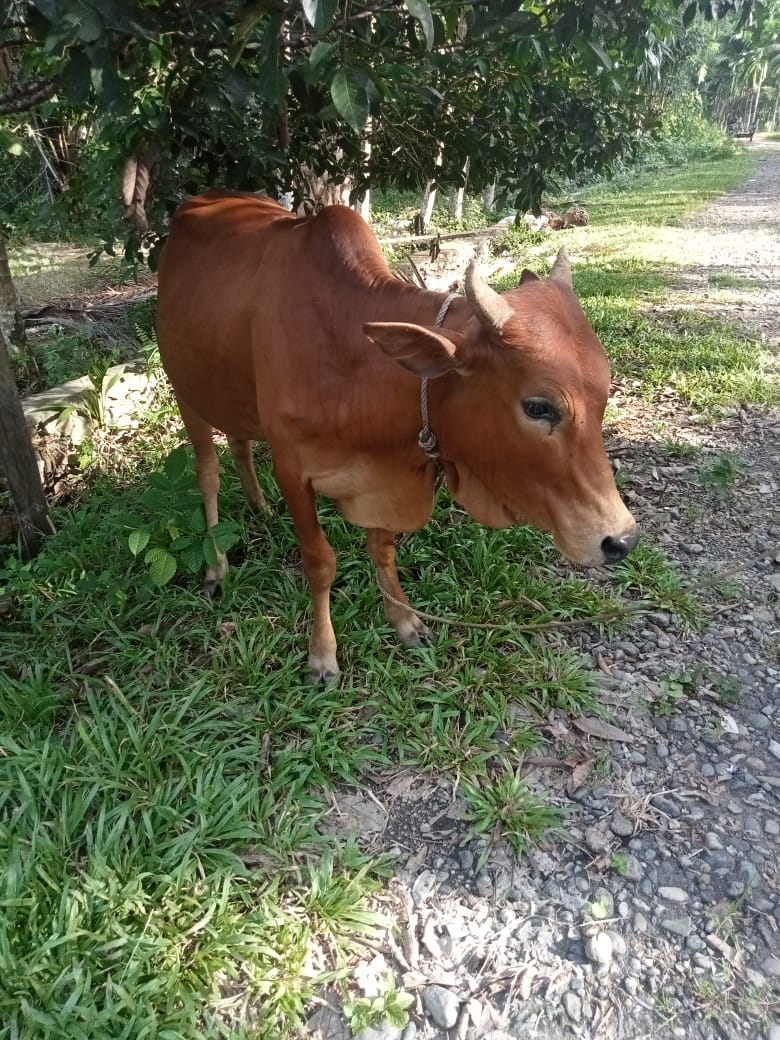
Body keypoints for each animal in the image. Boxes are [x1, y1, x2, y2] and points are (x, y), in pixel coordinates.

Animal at [156, 192, 636, 682]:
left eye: (604, 394)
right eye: (538, 407)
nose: (621, 541)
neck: (353, 361)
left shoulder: (381, 476)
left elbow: (383, 550)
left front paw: (404, 621)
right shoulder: (292, 467)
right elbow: (320, 562)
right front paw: (322, 656)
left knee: (238, 443)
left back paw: (259, 507)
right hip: (185, 391)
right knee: (207, 473)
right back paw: (216, 567)